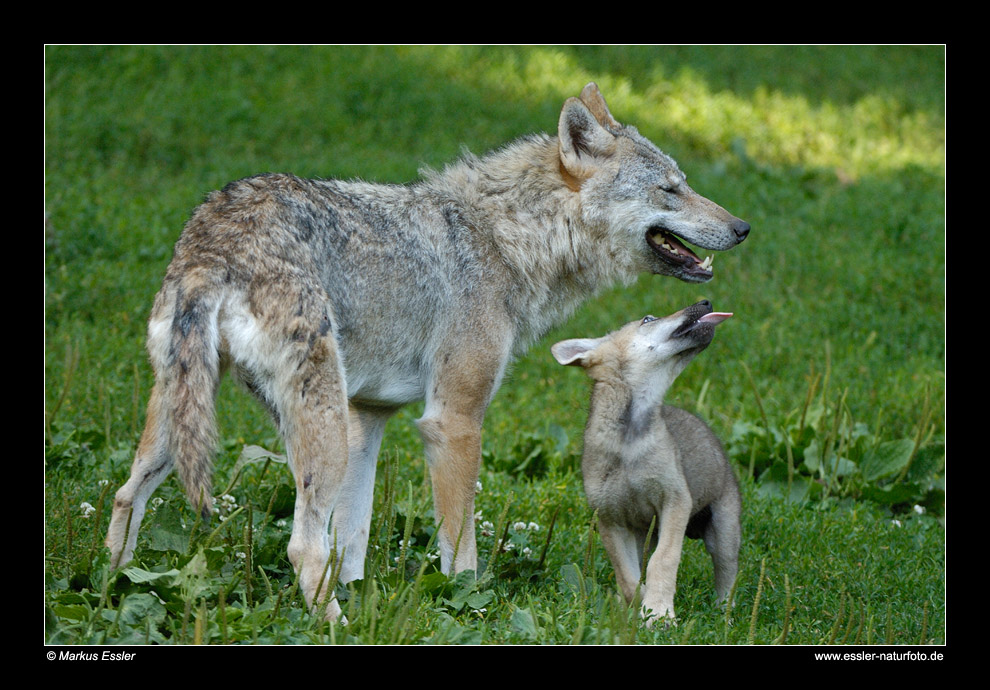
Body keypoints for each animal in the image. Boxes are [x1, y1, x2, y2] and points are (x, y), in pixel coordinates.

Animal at [104, 80, 748, 620]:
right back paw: (336, 629)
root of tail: (213, 239)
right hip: (315, 433)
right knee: (301, 546)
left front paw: (361, 595)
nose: (742, 227)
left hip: (192, 425)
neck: (506, 240)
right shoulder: (453, 422)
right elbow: (459, 554)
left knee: (125, 497)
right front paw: (469, 612)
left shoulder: (369, 418)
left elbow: (354, 538)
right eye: (670, 189)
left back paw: (113, 592)